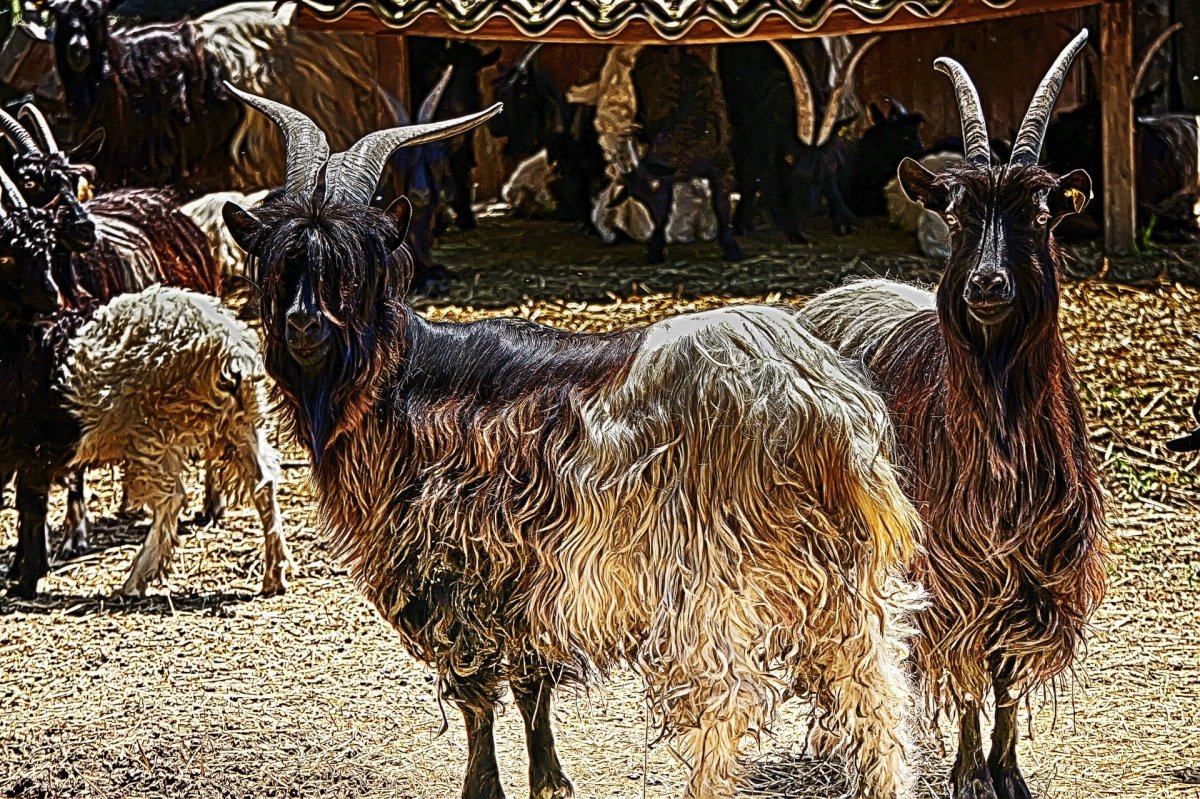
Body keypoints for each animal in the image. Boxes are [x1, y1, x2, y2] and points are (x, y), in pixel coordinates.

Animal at [0, 176, 287, 599]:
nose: (51, 297)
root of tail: (230, 351)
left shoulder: (28, 444)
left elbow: (29, 508)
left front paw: (25, 579)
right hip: (241, 424)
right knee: (264, 483)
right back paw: (274, 575)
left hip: (155, 436)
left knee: (172, 499)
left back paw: (135, 579)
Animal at [222, 85, 925, 799]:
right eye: (283, 262)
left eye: (355, 265)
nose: (304, 323)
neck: (405, 379)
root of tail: (816, 401)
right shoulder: (522, 577)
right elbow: (531, 685)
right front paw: (549, 781)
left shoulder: (454, 575)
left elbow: (476, 693)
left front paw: (486, 786)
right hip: (838, 573)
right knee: (876, 693)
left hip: (711, 575)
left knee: (728, 695)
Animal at [610, 47, 741, 263]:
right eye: (637, 197)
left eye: (654, 185)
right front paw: (655, 250)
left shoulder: (722, 165)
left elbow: (722, 206)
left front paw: (732, 248)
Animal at [719, 37, 880, 243]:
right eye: (789, 158)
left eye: (828, 164)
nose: (808, 205)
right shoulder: (754, 134)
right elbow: (753, 170)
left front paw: (844, 220)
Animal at [803, 31, 1107, 799]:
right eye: (956, 213)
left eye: (1038, 214)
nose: (987, 283)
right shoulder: (951, 568)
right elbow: (966, 667)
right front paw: (970, 775)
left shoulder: (1035, 572)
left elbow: (1006, 674)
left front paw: (1008, 773)